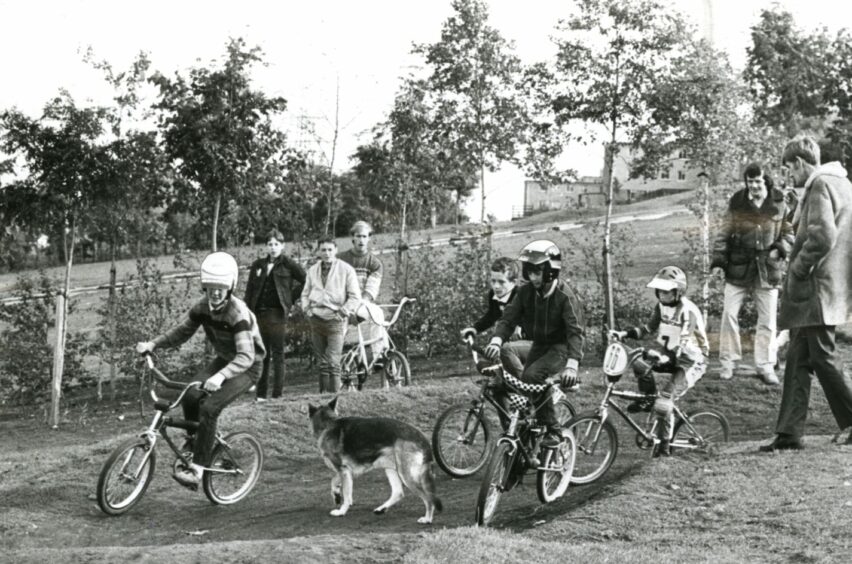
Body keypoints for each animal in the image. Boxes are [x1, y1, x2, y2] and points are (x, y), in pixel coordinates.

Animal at [308, 396, 442, 524]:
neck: (328, 423)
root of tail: (421, 437)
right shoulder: (346, 471)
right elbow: (333, 481)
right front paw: (336, 495)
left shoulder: (343, 470)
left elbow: (346, 494)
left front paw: (341, 511)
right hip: (392, 469)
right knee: (398, 493)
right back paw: (381, 509)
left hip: (406, 476)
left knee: (428, 498)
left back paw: (427, 519)